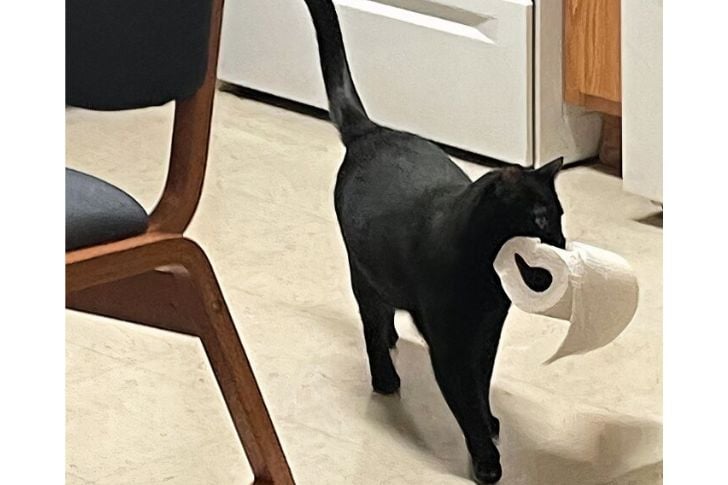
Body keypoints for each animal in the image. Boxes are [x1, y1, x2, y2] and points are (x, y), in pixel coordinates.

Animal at [301, 1, 566, 483]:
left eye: (559, 216)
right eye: (540, 218)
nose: (562, 243)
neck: (485, 282)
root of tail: (372, 132)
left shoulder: (487, 333)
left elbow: (482, 384)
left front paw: (492, 421)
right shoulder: (449, 346)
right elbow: (465, 402)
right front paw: (486, 460)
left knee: (382, 315)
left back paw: (392, 337)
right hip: (360, 268)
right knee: (370, 321)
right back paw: (385, 378)